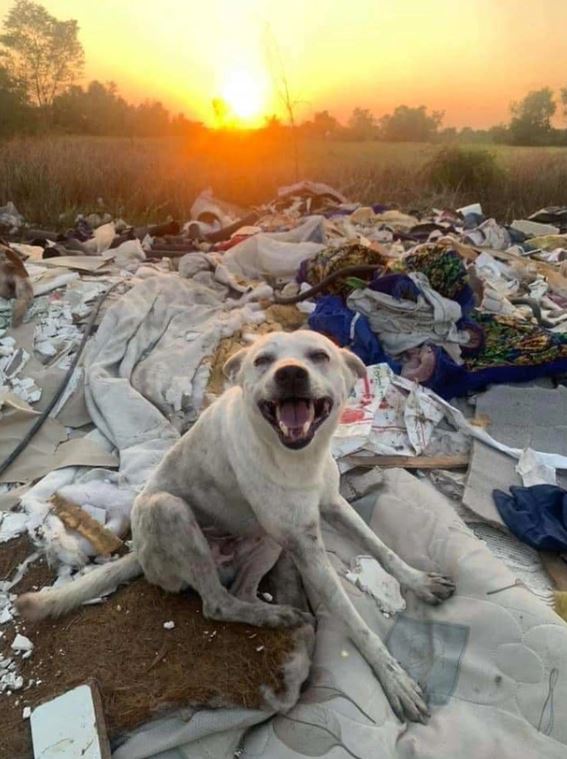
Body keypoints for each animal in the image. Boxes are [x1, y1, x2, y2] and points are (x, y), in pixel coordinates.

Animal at [17, 332, 458, 724]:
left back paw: (277, 613)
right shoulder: (306, 545)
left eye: (319, 355)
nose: (290, 374)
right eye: (262, 360)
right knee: (216, 603)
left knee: (242, 590)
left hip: (267, 539)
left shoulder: (330, 506)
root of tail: (138, 552)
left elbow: (381, 547)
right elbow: (353, 618)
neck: (298, 457)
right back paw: (272, 616)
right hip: (169, 512)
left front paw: (419, 581)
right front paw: (394, 679)